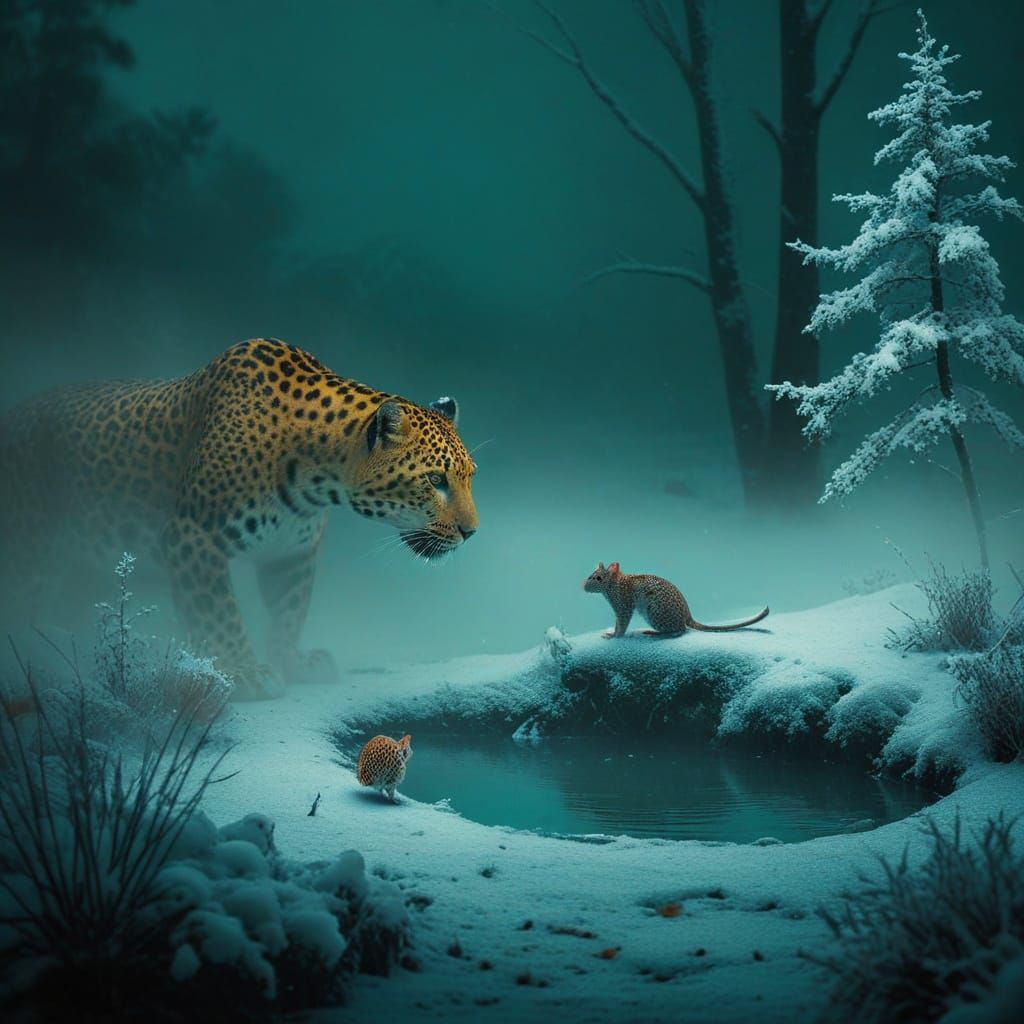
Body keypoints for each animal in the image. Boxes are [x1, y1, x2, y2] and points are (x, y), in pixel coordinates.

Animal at [0, 339, 479, 699]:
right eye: (435, 480)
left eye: (470, 476)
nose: (471, 532)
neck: (317, 478)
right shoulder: (192, 535)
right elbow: (218, 611)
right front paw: (243, 671)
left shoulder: (291, 551)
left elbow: (289, 611)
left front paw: (292, 661)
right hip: (29, 557)